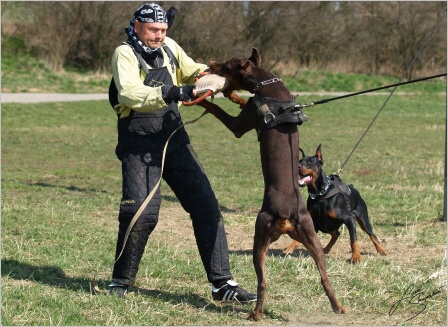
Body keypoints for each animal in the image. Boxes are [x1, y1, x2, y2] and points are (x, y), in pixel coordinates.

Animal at [196, 47, 346, 322]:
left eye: (226, 64)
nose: (210, 62)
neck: (268, 85)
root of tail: (286, 215)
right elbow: (241, 99)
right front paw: (232, 95)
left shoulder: (241, 123)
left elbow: (219, 111)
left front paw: (202, 99)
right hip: (311, 237)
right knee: (324, 277)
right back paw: (338, 306)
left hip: (260, 236)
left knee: (262, 282)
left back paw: (256, 314)